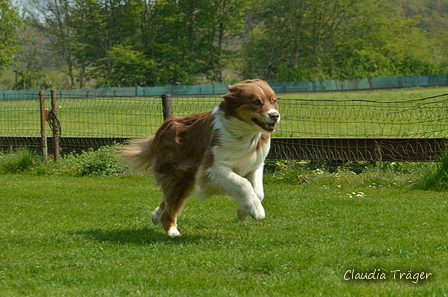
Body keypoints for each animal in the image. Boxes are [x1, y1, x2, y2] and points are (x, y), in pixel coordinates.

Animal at [121, 79, 278, 236]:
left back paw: (155, 217)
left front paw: (243, 211)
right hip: (178, 177)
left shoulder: (254, 165)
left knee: (167, 201)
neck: (245, 133)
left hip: (186, 179)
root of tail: (168, 122)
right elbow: (243, 183)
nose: (275, 115)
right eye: (256, 102)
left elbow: (258, 192)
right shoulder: (212, 169)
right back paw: (172, 231)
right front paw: (256, 211)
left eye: (274, 101)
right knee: (170, 204)